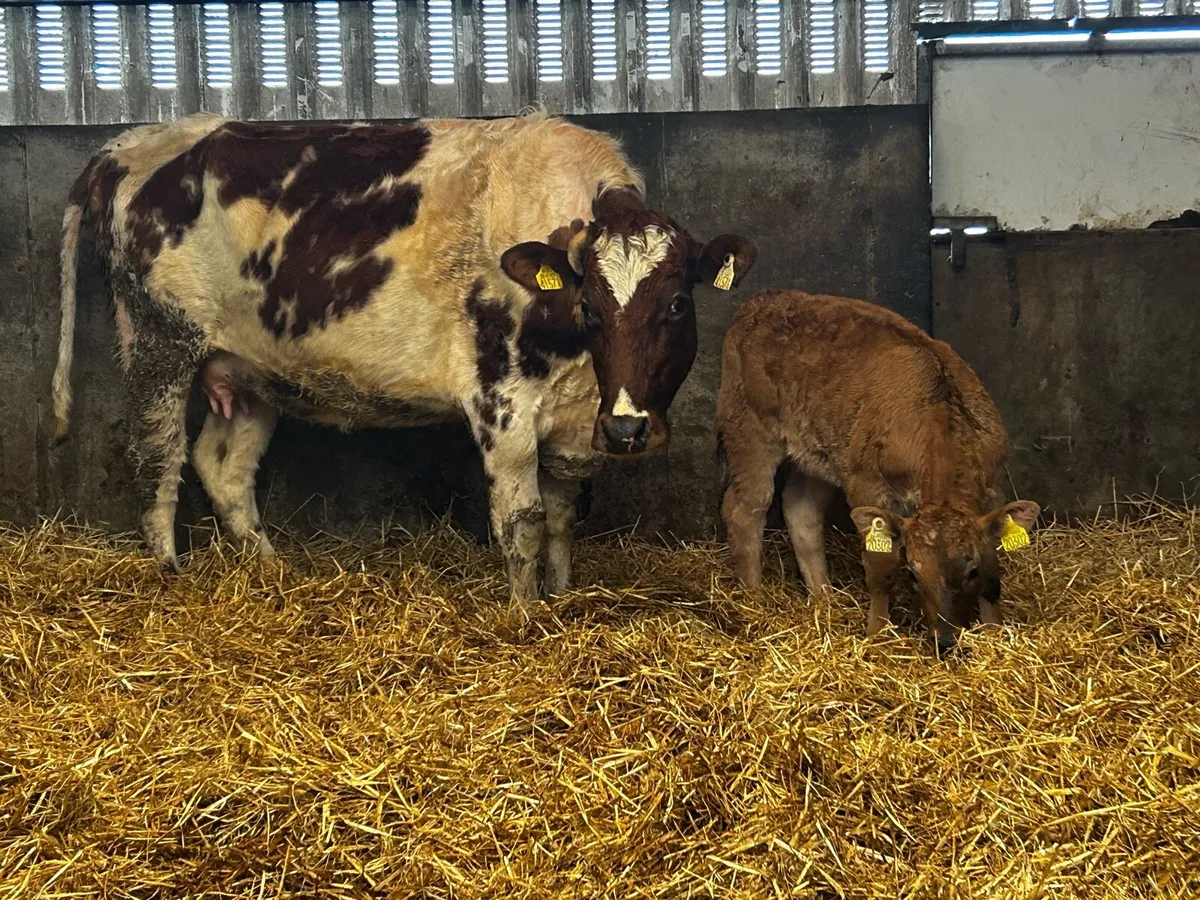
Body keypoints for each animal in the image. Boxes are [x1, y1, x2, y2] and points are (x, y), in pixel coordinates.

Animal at [53, 112, 757, 617]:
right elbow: (522, 521)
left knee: (222, 468)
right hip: (158, 343)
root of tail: (127, 145)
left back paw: (273, 571)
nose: (628, 429)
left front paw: (561, 598)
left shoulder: (576, 417)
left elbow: (561, 516)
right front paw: (527, 617)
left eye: (676, 303)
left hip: (250, 369)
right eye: (588, 305)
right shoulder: (500, 400)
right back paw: (169, 574)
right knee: (157, 462)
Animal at [715, 289, 1038, 654]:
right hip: (749, 428)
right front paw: (878, 632)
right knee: (745, 508)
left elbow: (995, 568)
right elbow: (879, 568)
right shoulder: (866, 485)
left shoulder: (994, 486)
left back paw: (824, 598)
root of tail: (763, 299)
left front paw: (996, 631)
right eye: (913, 574)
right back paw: (753, 599)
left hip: (817, 452)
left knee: (800, 508)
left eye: (972, 572)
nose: (944, 640)